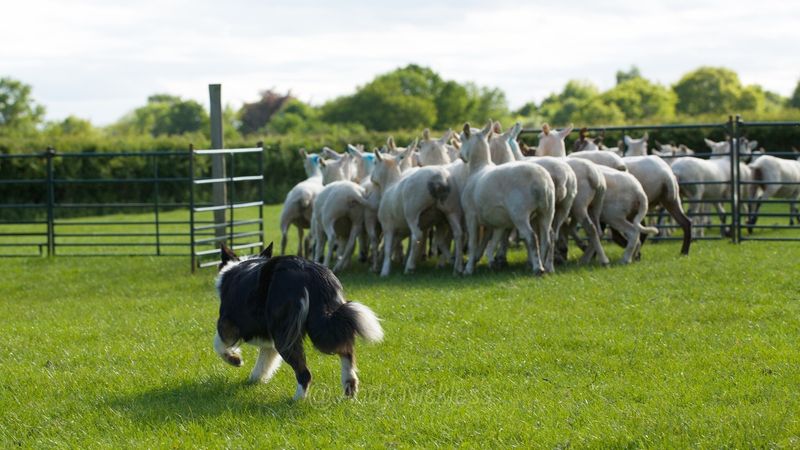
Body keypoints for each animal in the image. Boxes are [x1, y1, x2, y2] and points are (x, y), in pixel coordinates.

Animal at [212, 243, 382, 400]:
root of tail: (309, 273)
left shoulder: (228, 323)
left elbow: (219, 343)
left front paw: (235, 360)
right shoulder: (269, 341)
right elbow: (264, 361)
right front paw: (253, 380)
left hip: (284, 332)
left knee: (305, 373)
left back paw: (297, 400)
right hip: (324, 322)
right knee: (346, 350)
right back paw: (349, 389)